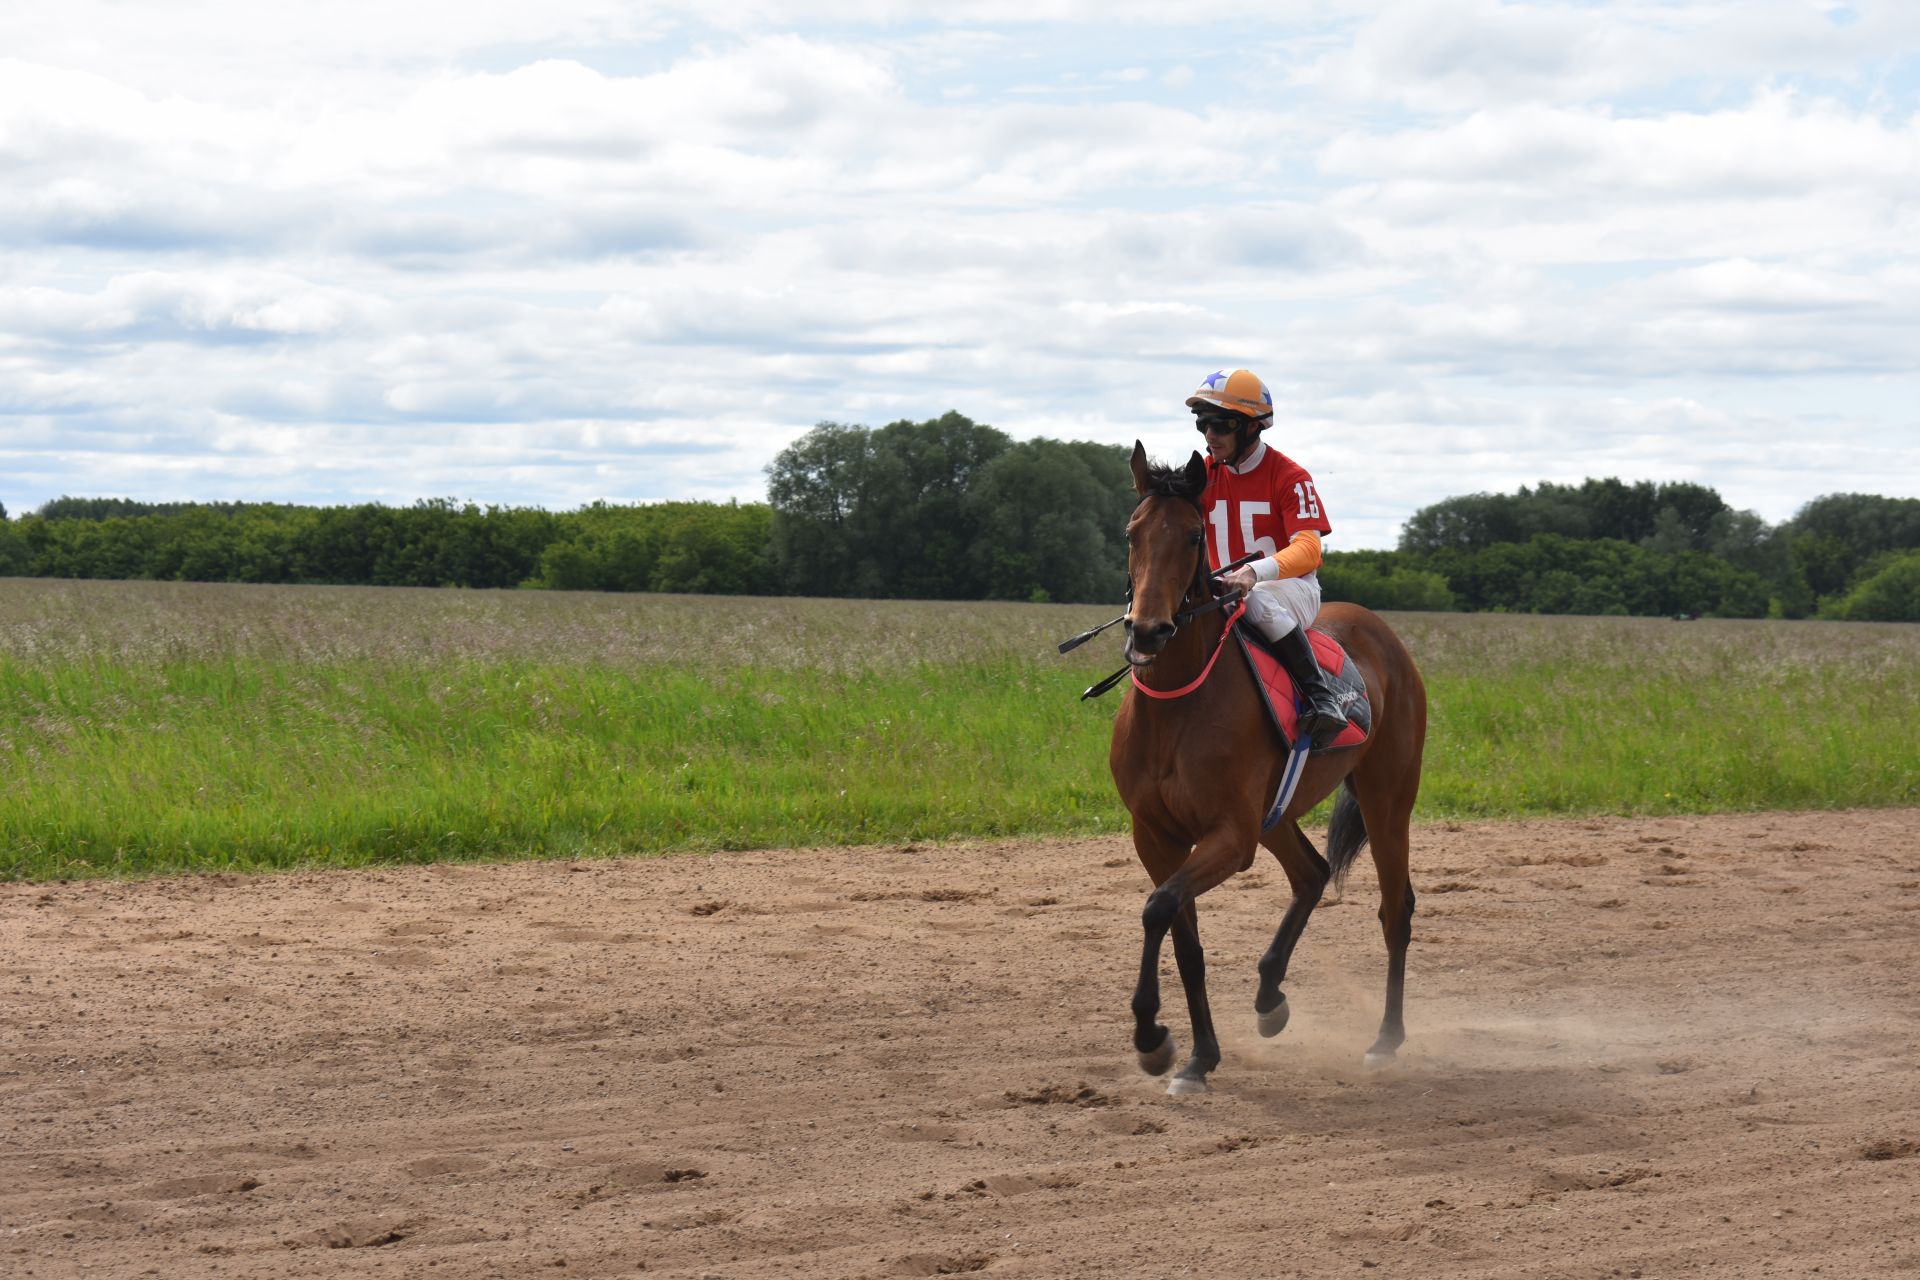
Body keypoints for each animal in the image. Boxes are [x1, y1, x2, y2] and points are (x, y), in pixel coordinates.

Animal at [1113, 445, 1428, 1097]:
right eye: (1132, 532)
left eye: (1191, 536)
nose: (1149, 630)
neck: (1177, 706)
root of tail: (1381, 632)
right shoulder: (1155, 836)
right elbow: (1182, 937)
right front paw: (1197, 1057)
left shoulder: (1231, 838)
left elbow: (1158, 907)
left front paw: (1152, 1038)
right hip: (1275, 812)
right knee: (1312, 872)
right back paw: (1269, 996)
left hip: (1387, 798)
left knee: (1395, 908)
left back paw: (1385, 1039)